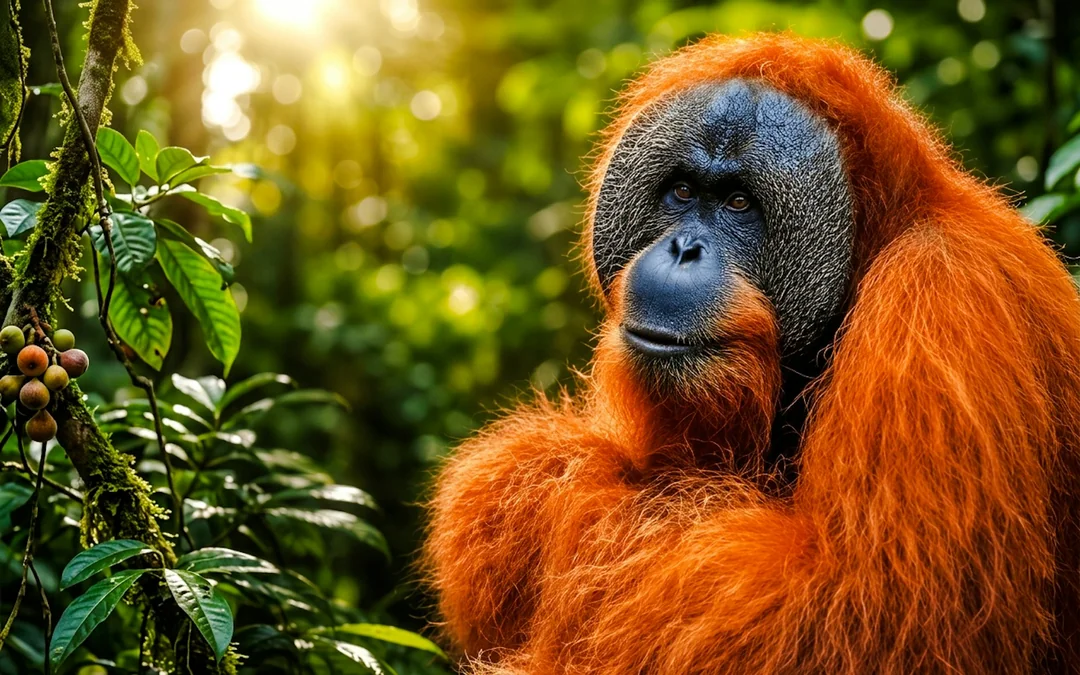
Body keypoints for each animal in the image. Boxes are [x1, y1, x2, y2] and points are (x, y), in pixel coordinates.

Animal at [424, 33, 1080, 674]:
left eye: (739, 203)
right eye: (683, 191)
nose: (683, 248)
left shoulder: (939, 302)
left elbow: (857, 605)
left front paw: (535, 483)